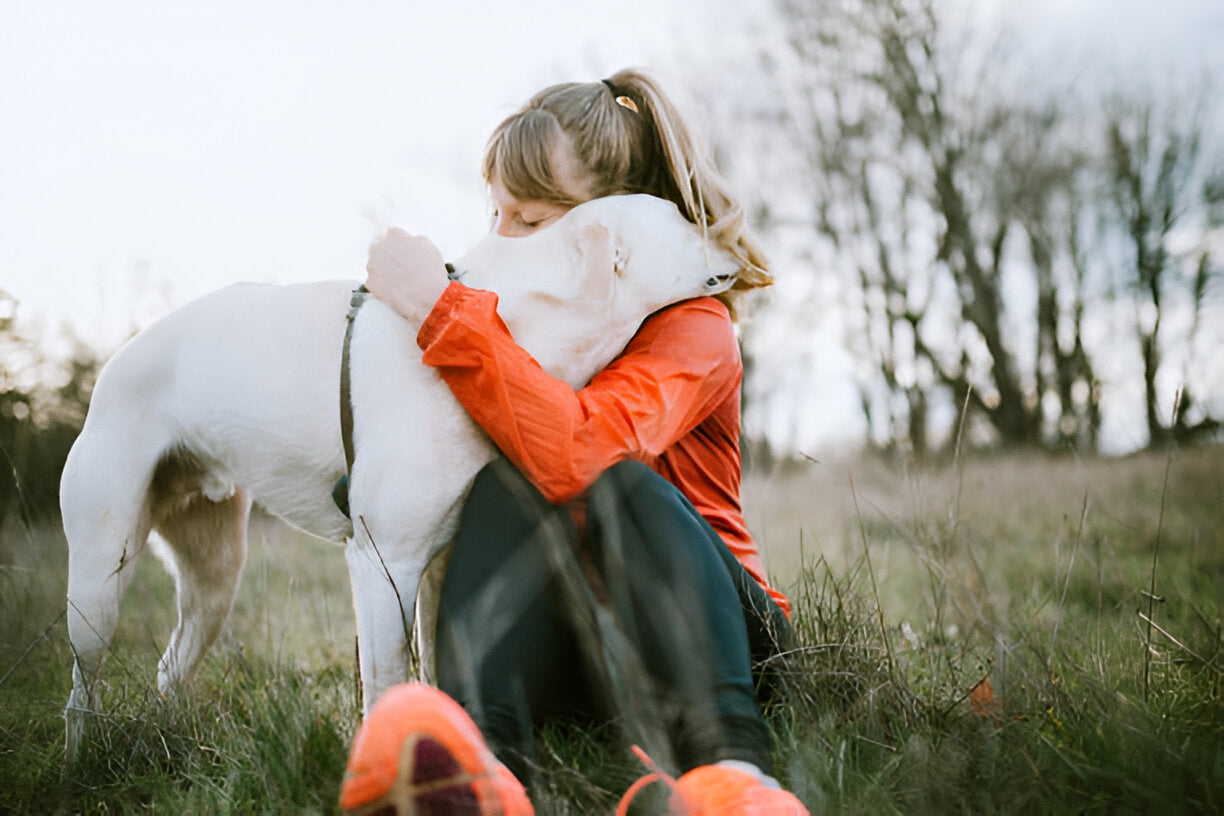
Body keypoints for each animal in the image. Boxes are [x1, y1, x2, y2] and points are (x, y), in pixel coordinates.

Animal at [62, 194, 734, 758]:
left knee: (171, 667)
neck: (513, 326)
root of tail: (118, 358)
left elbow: (436, 673)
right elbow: (387, 684)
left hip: (213, 577)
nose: (733, 229)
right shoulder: (384, 562)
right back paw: (79, 767)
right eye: (678, 216)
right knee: (81, 692)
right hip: (100, 580)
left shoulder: (439, 563)